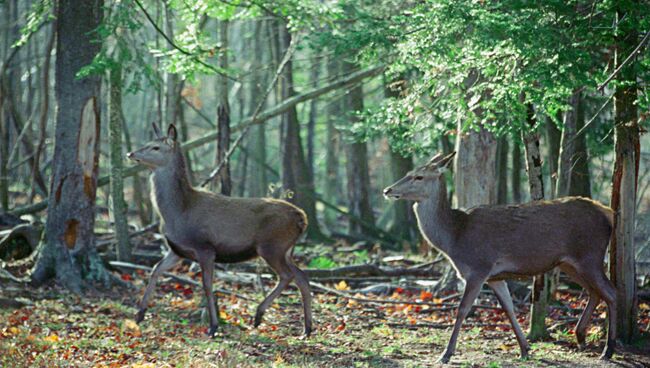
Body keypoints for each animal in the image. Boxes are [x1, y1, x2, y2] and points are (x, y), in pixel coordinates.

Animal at [126, 123, 312, 336]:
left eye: (155, 147)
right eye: (148, 143)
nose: (130, 153)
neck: (178, 211)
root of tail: (302, 218)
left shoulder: (205, 247)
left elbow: (207, 285)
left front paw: (213, 326)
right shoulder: (177, 250)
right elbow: (155, 269)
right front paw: (139, 314)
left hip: (272, 245)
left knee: (287, 275)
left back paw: (259, 315)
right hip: (285, 250)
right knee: (302, 277)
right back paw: (306, 328)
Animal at [382, 152, 616, 362]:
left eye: (419, 177)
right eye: (408, 173)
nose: (387, 190)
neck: (455, 238)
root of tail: (609, 213)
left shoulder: (478, 268)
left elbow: (462, 309)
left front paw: (446, 354)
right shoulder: (496, 277)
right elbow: (509, 309)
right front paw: (525, 349)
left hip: (590, 255)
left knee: (612, 292)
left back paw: (607, 350)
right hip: (569, 263)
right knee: (595, 292)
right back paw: (580, 336)